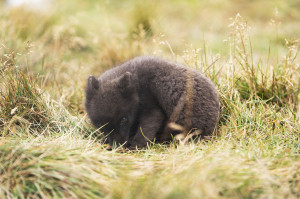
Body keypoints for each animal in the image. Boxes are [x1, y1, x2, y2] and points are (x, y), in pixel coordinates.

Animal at [84, 56, 218, 148]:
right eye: (100, 124)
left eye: (124, 119)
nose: (118, 146)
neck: (137, 85)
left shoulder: (152, 109)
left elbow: (145, 130)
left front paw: (135, 146)